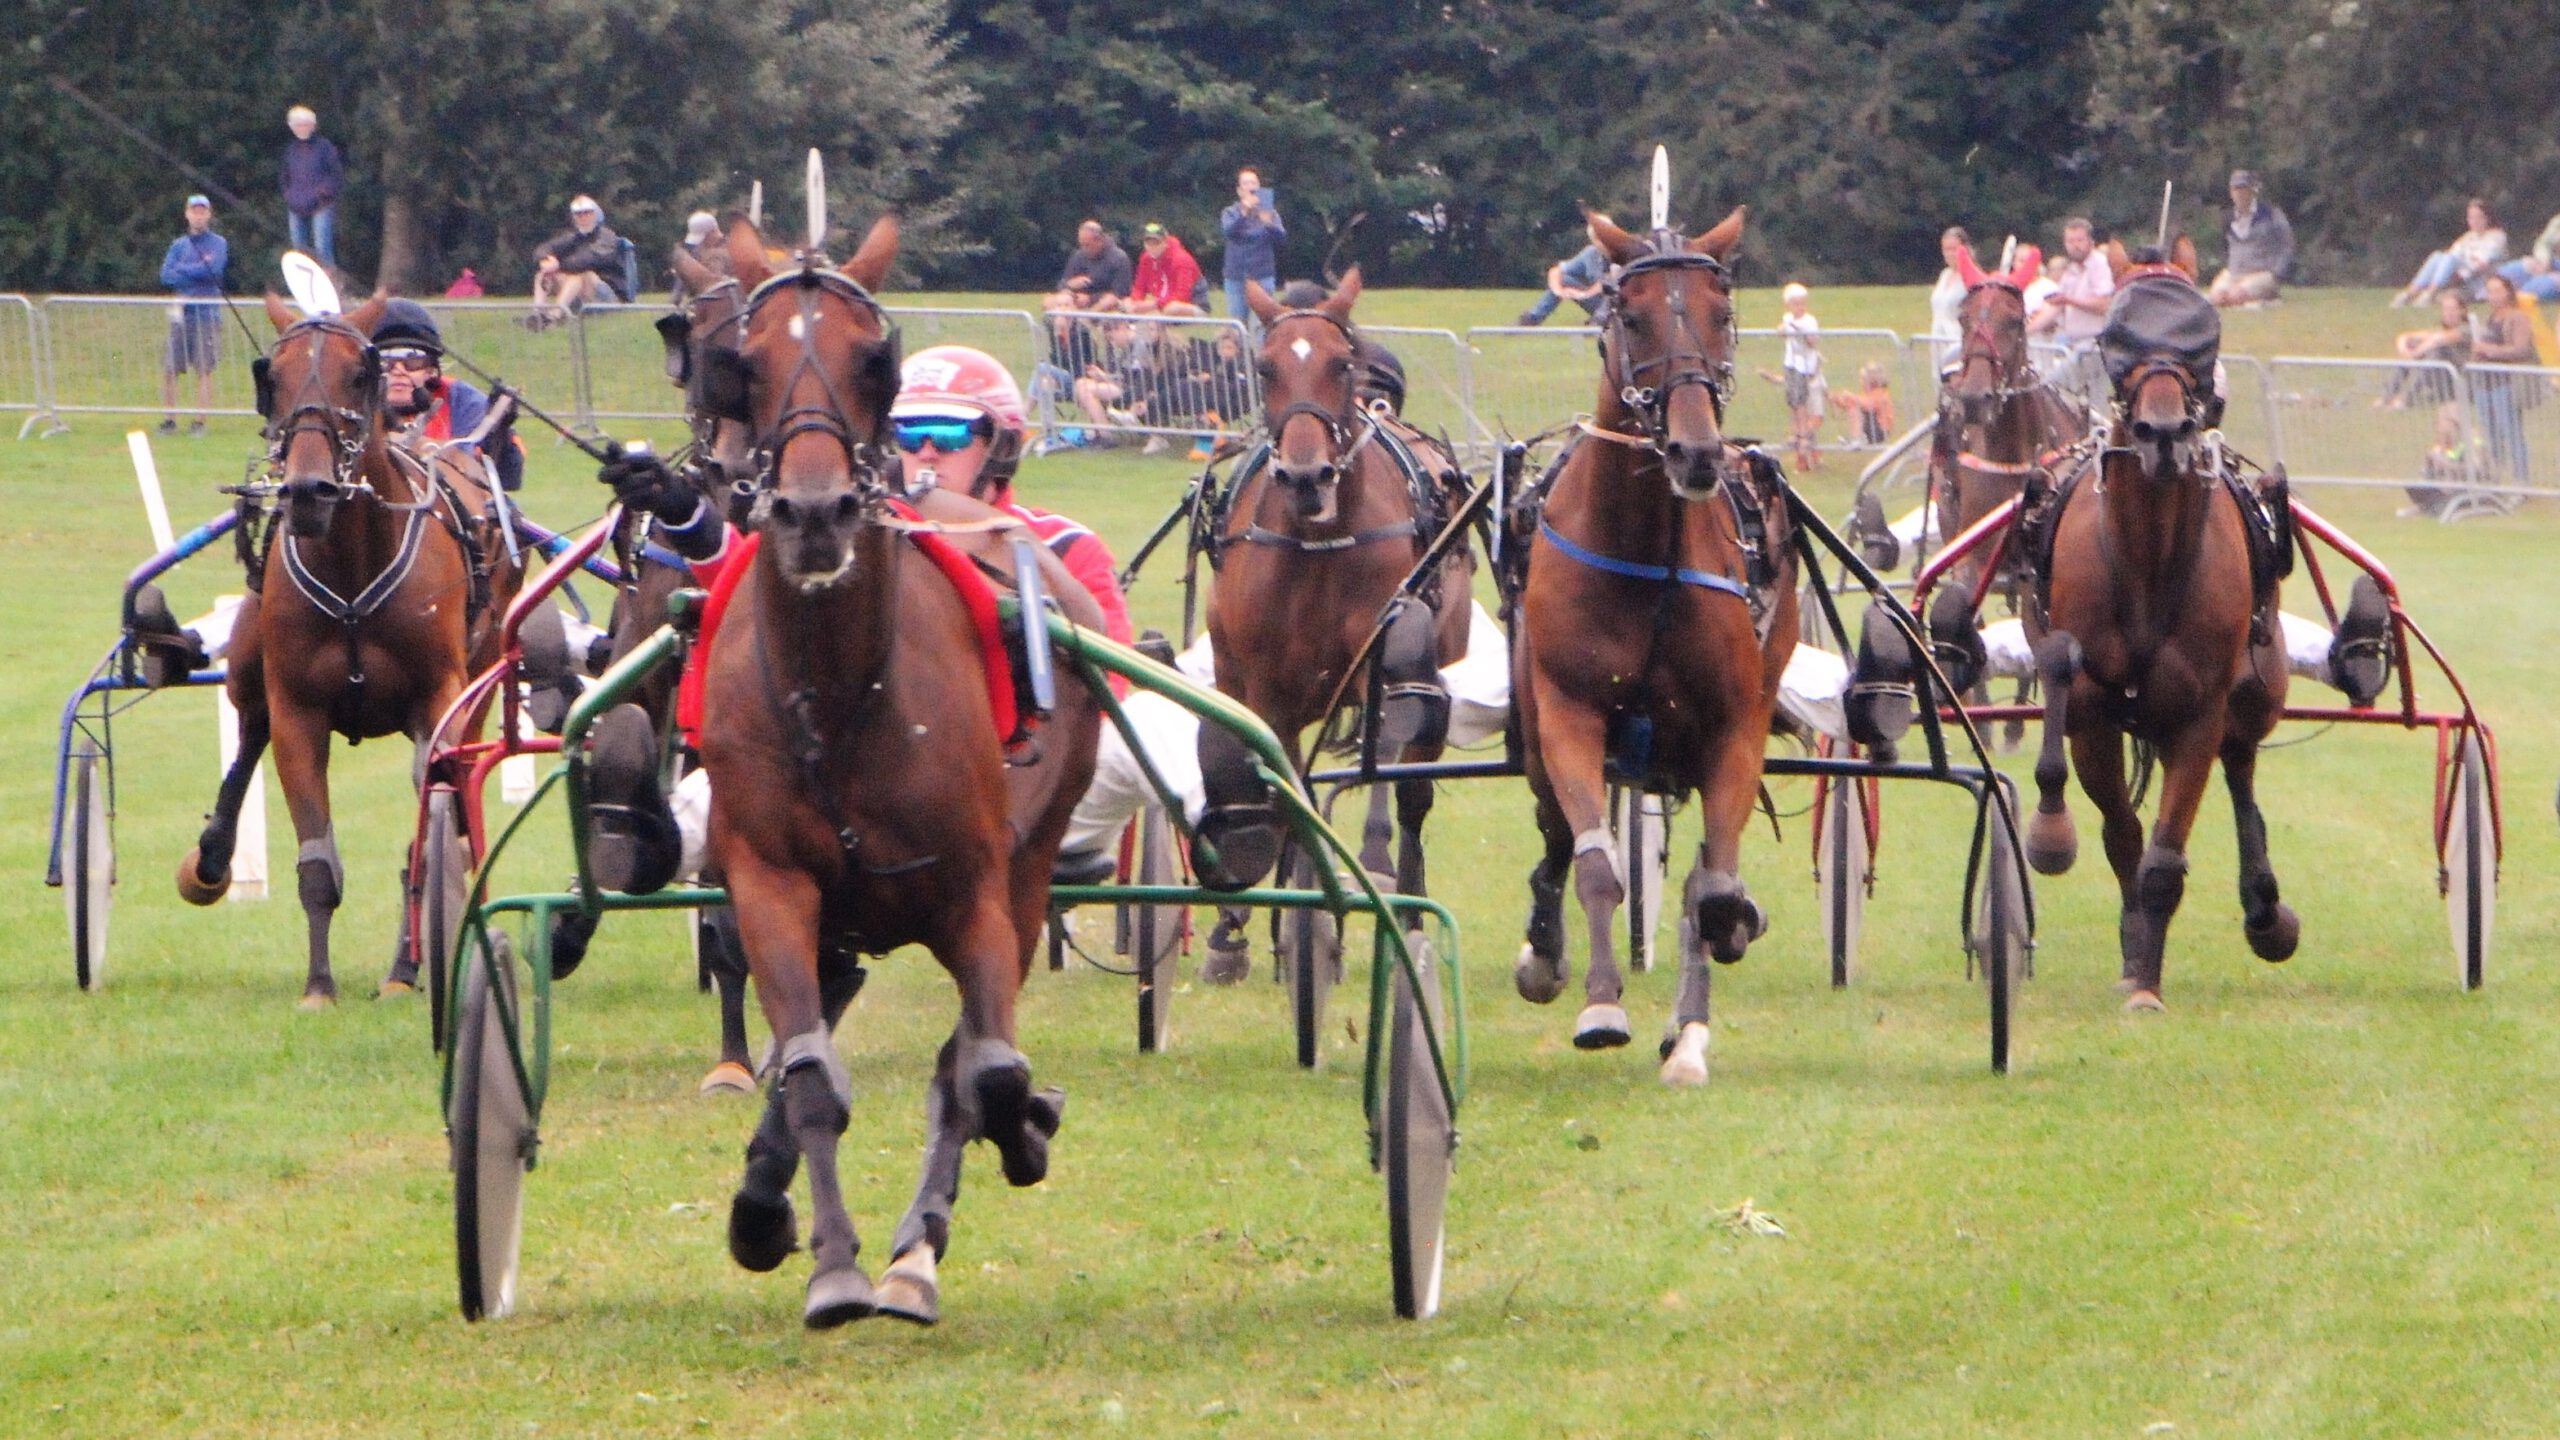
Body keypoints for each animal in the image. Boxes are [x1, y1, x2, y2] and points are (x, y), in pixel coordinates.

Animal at [178, 295, 522, 1006]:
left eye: (359, 375)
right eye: (270, 376)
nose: (308, 491)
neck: (353, 564)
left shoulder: (437, 705)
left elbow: (426, 837)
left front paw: (406, 969)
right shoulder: (299, 714)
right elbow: (316, 859)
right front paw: (318, 986)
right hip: (250, 662)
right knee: (247, 734)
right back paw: (213, 858)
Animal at [691, 214, 1103, 1328]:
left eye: (871, 360)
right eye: (741, 363)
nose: (815, 511)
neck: (838, 692)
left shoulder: (977, 893)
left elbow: (985, 1075)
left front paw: (1021, 1132)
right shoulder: (771, 882)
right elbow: (807, 1074)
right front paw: (825, 1261)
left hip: (1033, 859)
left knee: (970, 1060)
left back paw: (923, 1246)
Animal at [1189, 270, 1474, 972]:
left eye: (1340, 364)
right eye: (1264, 367)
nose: (1304, 474)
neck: (1318, 545)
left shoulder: (1383, 667)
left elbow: (1387, 762)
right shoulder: (1269, 690)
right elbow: (1286, 789)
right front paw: (1269, 924)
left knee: (1411, 790)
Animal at [1510, 209, 1799, 1086]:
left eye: (1722, 312)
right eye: (1631, 316)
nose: (1696, 453)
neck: (1645, 550)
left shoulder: (1733, 727)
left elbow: (1714, 889)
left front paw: (1694, 1021)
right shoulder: (1569, 713)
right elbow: (1596, 863)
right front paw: (1601, 1004)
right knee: (1554, 839)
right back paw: (1545, 951)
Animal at [2024, 243, 2297, 1011]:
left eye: (2198, 342)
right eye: (2121, 341)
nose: (2165, 432)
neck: (2147, 555)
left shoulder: (2198, 714)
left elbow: (2164, 856)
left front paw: (2147, 981)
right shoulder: (2092, 713)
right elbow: (2121, 833)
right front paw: (2130, 952)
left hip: (2258, 686)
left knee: (2243, 769)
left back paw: (2266, 910)